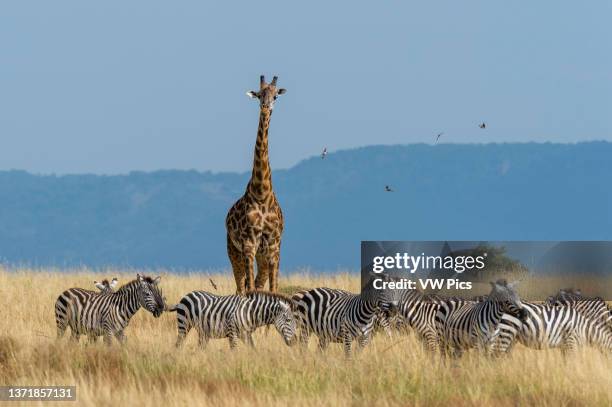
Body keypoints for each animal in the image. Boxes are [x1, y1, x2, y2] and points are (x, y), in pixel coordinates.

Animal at [167, 290, 296, 350]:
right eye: (288, 320)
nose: (294, 342)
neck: (250, 312)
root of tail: (186, 295)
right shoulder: (232, 331)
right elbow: (234, 350)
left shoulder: (246, 334)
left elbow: (253, 349)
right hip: (184, 324)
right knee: (178, 344)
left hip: (203, 332)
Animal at [227, 75, 286, 294]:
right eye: (260, 94)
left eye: (275, 95)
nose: (266, 107)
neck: (261, 192)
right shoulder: (248, 244)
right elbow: (250, 288)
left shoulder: (274, 246)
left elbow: (273, 289)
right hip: (233, 249)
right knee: (241, 287)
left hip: (262, 256)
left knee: (257, 284)